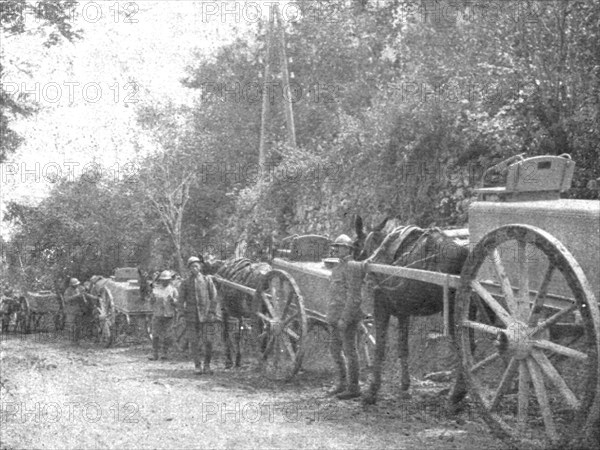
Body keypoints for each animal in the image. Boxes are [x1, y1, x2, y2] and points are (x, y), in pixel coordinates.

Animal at [354, 214, 472, 404]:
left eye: (354, 244)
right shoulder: (403, 312)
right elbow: (403, 347)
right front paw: (405, 385)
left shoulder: (381, 305)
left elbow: (380, 347)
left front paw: (372, 390)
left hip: (455, 314)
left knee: (466, 351)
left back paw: (456, 395)